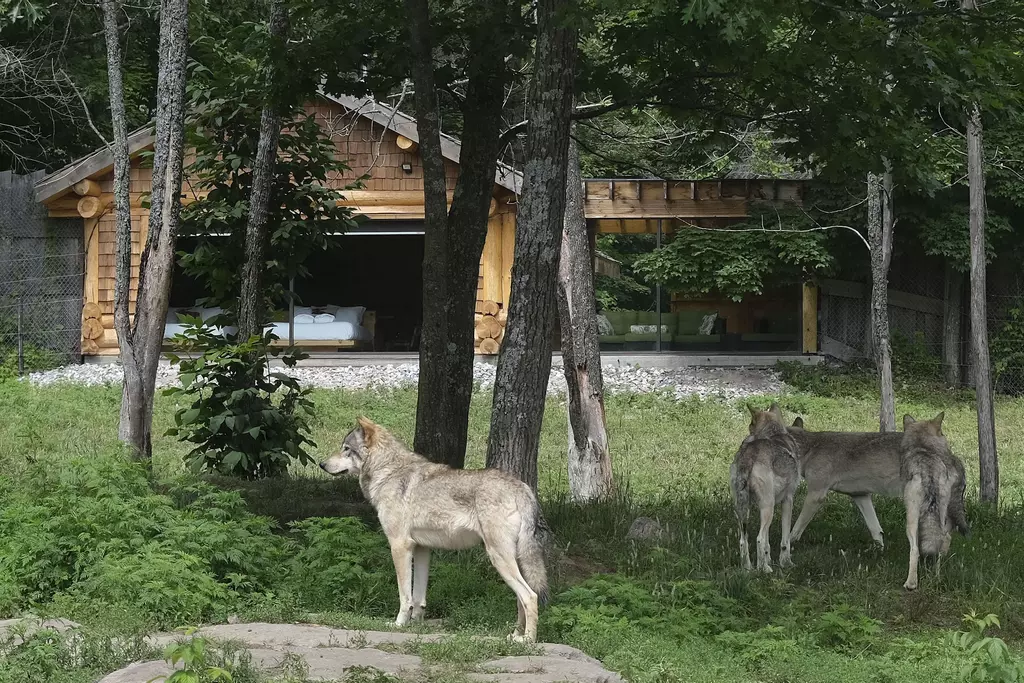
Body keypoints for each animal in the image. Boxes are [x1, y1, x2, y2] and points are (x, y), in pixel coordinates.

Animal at [317, 413, 548, 643]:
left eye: (346, 448)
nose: (321, 464)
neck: (388, 471)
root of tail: (522, 487)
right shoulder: (422, 549)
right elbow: (418, 597)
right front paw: (416, 625)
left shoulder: (400, 547)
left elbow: (404, 595)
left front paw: (399, 624)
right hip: (513, 561)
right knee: (520, 598)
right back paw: (515, 635)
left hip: (499, 558)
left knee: (530, 596)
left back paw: (528, 640)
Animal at [733, 405, 802, 573]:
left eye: (750, 423)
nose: (748, 431)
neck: (775, 434)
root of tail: (749, 453)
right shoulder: (788, 500)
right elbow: (785, 541)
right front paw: (786, 563)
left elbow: (768, 543)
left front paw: (769, 559)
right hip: (767, 508)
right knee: (758, 538)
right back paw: (764, 569)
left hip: (744, 510)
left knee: (743, 540)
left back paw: (748, 569)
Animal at [782, 413, 905, 548]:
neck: (809, 449)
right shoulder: (861, 496)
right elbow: (876, 530)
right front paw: (878, 550)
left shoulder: (815, 496)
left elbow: (795, 529)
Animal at [905, 413, 966, 589]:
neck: (924, 448)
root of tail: (929, 474)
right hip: (943, 515)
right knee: (944, 540)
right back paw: (936, 578)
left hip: (910, 520)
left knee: (915, 550)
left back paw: (911, 583)